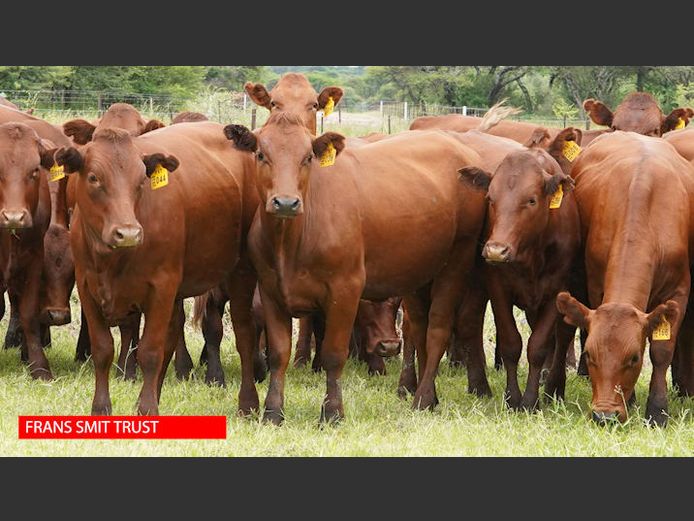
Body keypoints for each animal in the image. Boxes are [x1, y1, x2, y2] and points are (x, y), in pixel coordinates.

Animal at [49, 122, 258, 414]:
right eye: (93, 177)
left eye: (141, 181)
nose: (128, 233)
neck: (112, 260)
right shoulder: (87, 286)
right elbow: (103, 349)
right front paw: (101, 408)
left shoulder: (161, 287)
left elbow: (149, 352)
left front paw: (147, 409)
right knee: (172, 335)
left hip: (241, 273)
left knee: (244, 334)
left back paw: (248, 403)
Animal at [226, 114, 486, 422]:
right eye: (261, 154)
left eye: (307, 157)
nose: (286, 202)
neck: (289, 242)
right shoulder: (270, 290)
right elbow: (279, 353)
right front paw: (272, 412)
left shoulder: (345, 289)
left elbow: (334, 354)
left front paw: (332, 412)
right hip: (420, 273)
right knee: (419, 327)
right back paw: (430, 395)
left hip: (457, 261)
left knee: (437, 328)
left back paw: (422, 399)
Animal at [462, 128, 588, 408]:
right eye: (490, 198)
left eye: (531, 200)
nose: (496, 250)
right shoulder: (498, 289)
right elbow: (511, 343)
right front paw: (512, 398)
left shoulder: (556, 291)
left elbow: (538, 346)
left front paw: (531, 401)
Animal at [556, 131, 694, 426]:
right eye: (590, 355)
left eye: (634, 358)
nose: (604, 415)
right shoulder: (596, 284)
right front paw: (630, 400)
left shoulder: (678, 292)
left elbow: (662, 351)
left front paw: (657, 410)